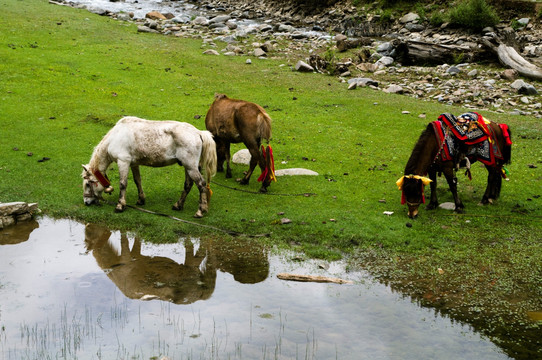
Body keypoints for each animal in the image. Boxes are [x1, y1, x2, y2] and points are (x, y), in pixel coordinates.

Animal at [82, 116, 218, 217]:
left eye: (88, 184)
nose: (86, 202)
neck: (114, 138)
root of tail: (198, 132)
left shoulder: (123, 162)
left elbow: (123, 184)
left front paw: (120, 205)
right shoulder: (133, 164)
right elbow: (137, 181)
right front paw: (141, 200)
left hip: (191, 166)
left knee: (201, 184)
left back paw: (200, 211)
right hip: (188, 166)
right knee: (188, 185)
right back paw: (178, 205)